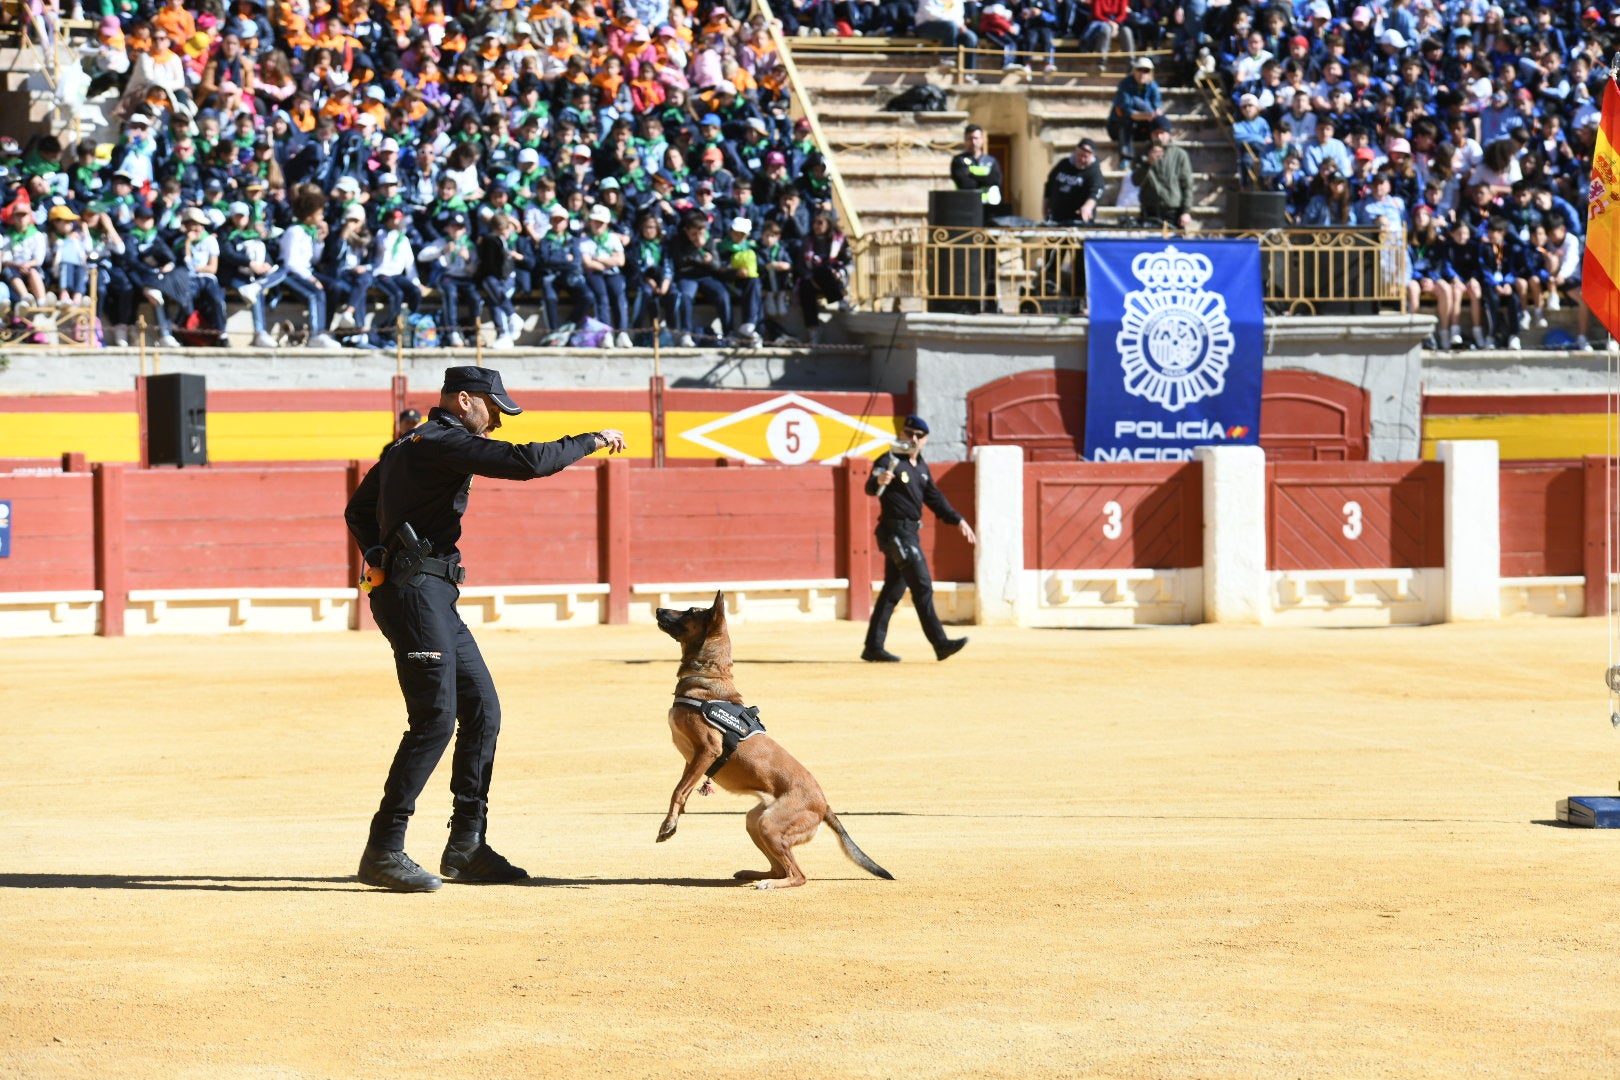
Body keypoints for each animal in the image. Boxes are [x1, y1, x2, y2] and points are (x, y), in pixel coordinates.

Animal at [651, 595, 894, 893]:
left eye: (690, 612)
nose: (659, 609)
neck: (710, 677)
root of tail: (824, 805)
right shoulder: (693, 760)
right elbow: (683, 791)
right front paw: (673, 822)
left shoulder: (708, 750)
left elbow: (677, 792)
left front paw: (667, 825)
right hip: (755, 821)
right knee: (779, 867)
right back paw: (754, 873)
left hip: (769, 825)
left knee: (798, 875)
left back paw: (769, 883)